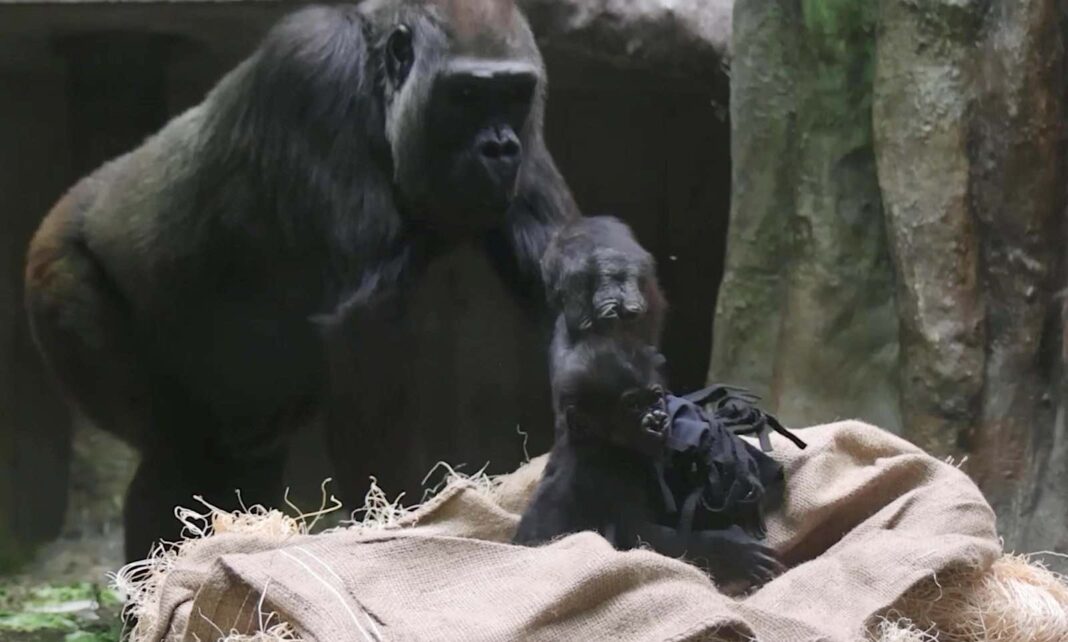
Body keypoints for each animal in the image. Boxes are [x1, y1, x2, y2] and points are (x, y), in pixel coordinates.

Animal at [25, 0, 653, 559]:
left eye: (512, 94)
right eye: (467, 96)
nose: (499, 147)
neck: (377, 74)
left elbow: (555, 264)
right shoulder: (312, 70)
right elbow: (365, 328)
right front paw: (397, 523)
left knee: (237, 462)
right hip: (57, 276)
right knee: (176, 458)